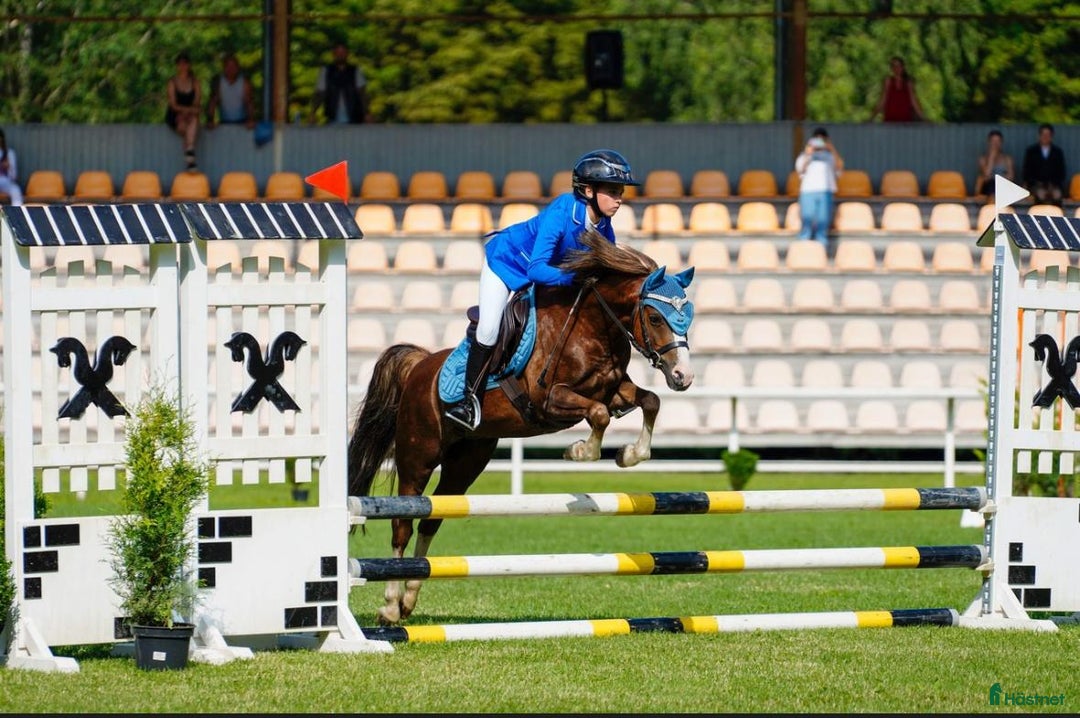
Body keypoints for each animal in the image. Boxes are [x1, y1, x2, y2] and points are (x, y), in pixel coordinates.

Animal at [346, 230, 696, 625]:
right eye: (654, 317)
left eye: (688, 315)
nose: (683, 376)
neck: (593, 326)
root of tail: (421, 366)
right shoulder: (551, 400)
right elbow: (599, 415)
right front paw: (579, 451)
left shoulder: (615, 389)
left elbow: (649, 402)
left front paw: (629, 455)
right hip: (417, 456)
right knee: (403, 523)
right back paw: (390, 607)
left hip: (465, 462)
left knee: (431, 519)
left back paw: (408, 600)